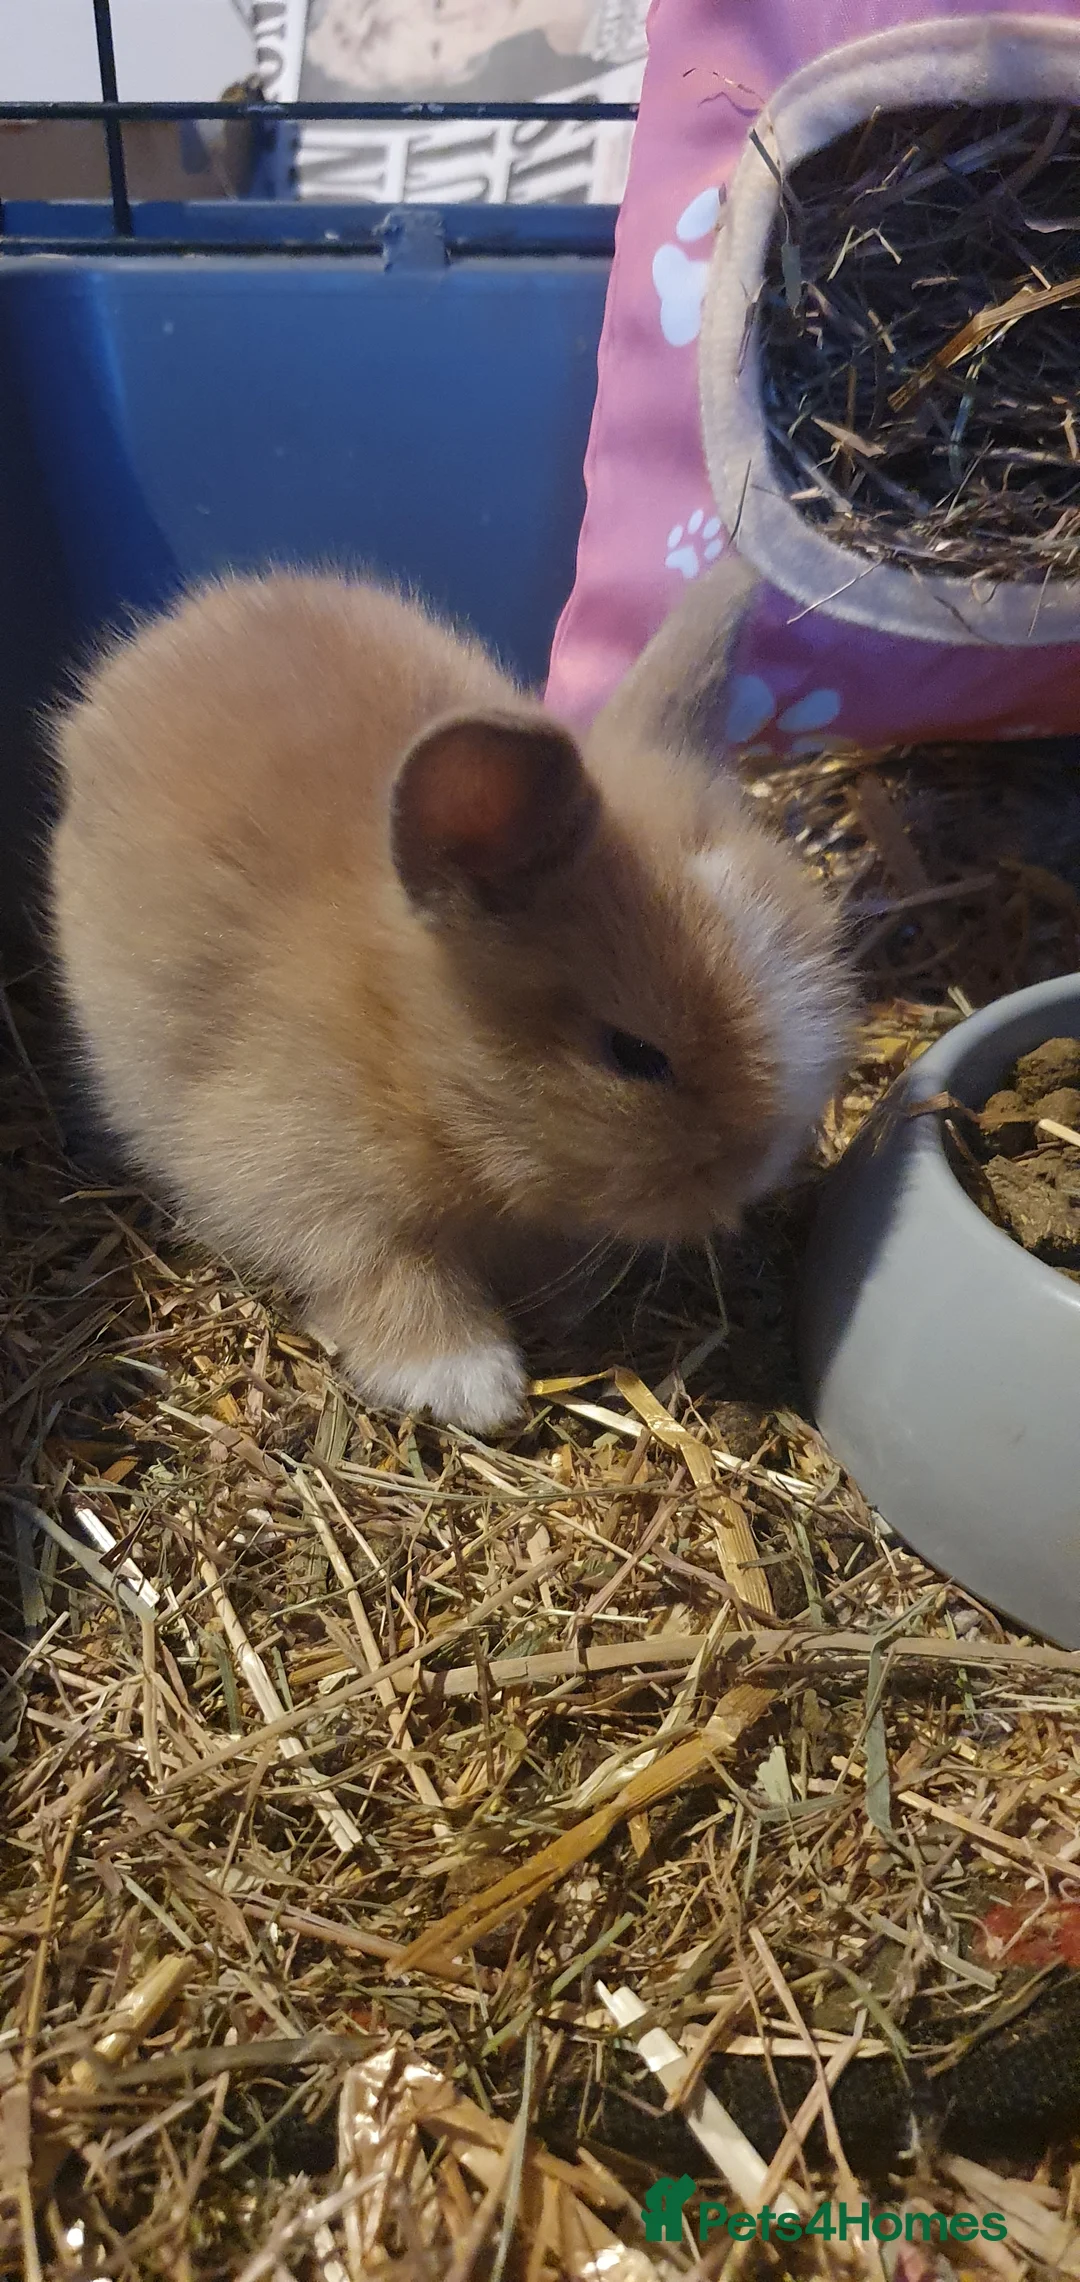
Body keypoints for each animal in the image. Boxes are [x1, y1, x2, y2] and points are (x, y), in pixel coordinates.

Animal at [48, 554, 852, 1432]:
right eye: (634, 1052)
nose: (760, 1169)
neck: (405, 1044)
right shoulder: (309, 1190)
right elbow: (388, 1272)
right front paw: (473, 1387)